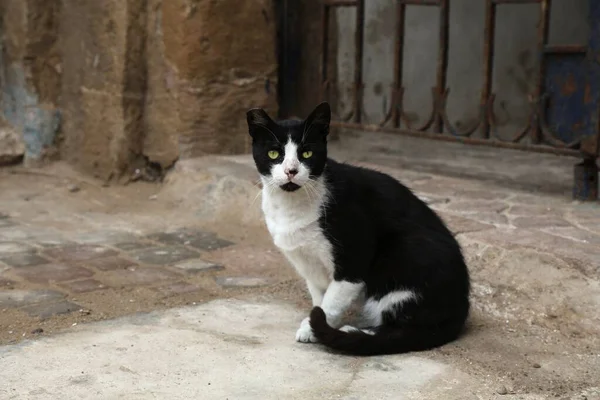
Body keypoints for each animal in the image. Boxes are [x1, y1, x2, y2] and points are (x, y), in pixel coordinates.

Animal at [246, 101, 472, 354]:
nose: (291, 171)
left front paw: (313, 328)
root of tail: (460, 308)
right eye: (274, 153)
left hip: (405, 256)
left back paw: (355, 333)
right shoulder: (308, 264)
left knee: (405, 329)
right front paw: (315, 325)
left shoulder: (354, 255)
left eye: (307, 153)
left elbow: (330, 302)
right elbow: (319, 298)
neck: (292, 206)